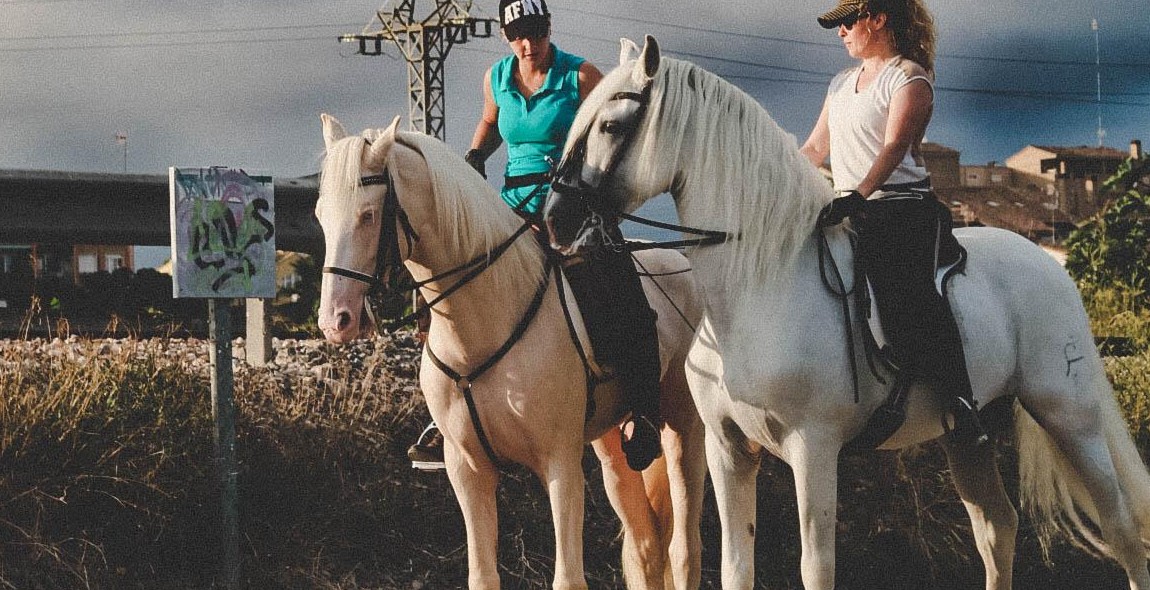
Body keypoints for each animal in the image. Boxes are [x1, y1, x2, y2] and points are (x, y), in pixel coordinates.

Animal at [317, 115, 708, 588]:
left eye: (369, 215)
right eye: (320, 215)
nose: (335, 320)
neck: (483, 321)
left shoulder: (560, 465)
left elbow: (568, 577)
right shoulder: (467, 471)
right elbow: (482, 576)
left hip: (684, 430)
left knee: (684, 549)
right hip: (614, 445)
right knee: (647, 546)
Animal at [540, 36, 1150, 588]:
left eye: (611, 126)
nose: (554, 219)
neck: (760, 284)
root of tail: (1052, 268)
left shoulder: (814, 451)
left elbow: (817, 568)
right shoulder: (728, 449)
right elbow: (737, 566)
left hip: (1069, 414)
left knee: (1120, 527)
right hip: (967, 434)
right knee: (997, 528)